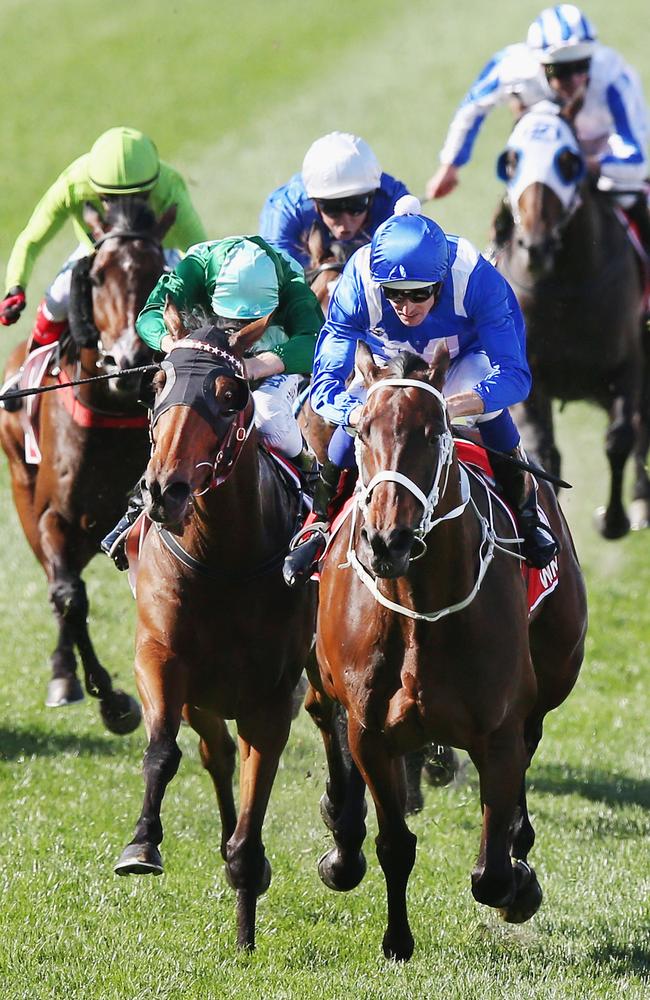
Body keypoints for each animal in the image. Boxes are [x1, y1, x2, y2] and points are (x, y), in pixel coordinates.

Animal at [0, 199, 175, 732]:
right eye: (96, 277)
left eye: (157, 271)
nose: (126, 362)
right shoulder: (52, 516)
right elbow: (69, 597)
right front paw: (114, 702)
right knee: (59, 586)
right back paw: (64, 673)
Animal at [116, 300, 316, 948]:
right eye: (157, 383)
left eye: (232, 395)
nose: (165, 489)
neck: (223, 560)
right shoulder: (161, 656)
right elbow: (163, 751)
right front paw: (142, 845)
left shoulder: (273, 696)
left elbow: (258, 795)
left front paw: (248, 889)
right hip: (203, 696)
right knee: (216, 753)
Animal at [306, 342, 588, 960]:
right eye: (360, 430)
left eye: (431, 432)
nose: (386, 541)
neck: (421, 609)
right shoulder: (371, 732)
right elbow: (394, 842)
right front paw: (396, 939)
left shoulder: (500, 731)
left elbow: (493, 875)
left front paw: (518, 883)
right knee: (322, 716)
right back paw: (341, 841)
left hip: (550, 681)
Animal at [494, 102, 644, 540]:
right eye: (512, 161)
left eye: (567, 161)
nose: (536, 246)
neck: (564, 289)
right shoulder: (530, 378)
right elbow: (543, 451)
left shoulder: (627, 363)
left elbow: (620, 436)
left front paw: (613, 520)